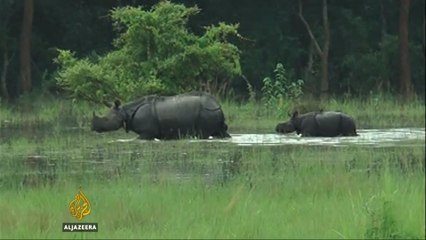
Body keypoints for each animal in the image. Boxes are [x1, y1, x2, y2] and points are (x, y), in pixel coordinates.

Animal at [90, 92, 230, 141]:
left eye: (107, 119)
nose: (93, 127)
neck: (125, 112)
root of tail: (217, 105)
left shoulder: (146, 133)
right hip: (212, 112)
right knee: (221, 132)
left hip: (206, 112)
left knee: (203, 134)